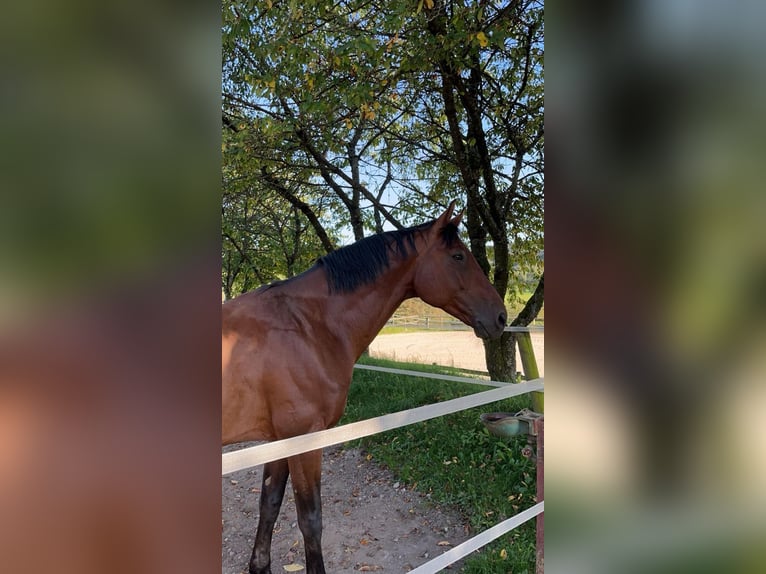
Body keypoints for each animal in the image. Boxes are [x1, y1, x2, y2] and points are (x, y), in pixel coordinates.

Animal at [224, 204, 510, 574]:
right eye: (458, 256)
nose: (501, 317)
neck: (306, 325)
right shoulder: (304, 438)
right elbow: (310, 520)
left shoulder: (279, 440)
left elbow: (269, 504)